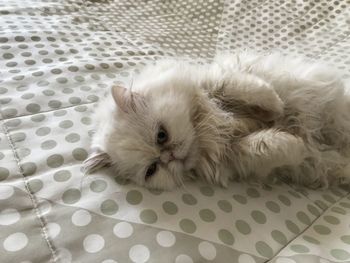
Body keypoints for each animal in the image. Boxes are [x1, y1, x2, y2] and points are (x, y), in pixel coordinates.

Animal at [84, 51, 350, 191]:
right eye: (152, 169)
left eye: (161, 135)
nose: (168, 157)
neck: (207, 133)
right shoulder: (235, 156)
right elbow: (265, 146)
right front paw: (298, 145)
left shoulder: (217, 81)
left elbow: (239, 87)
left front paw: (276, 106)